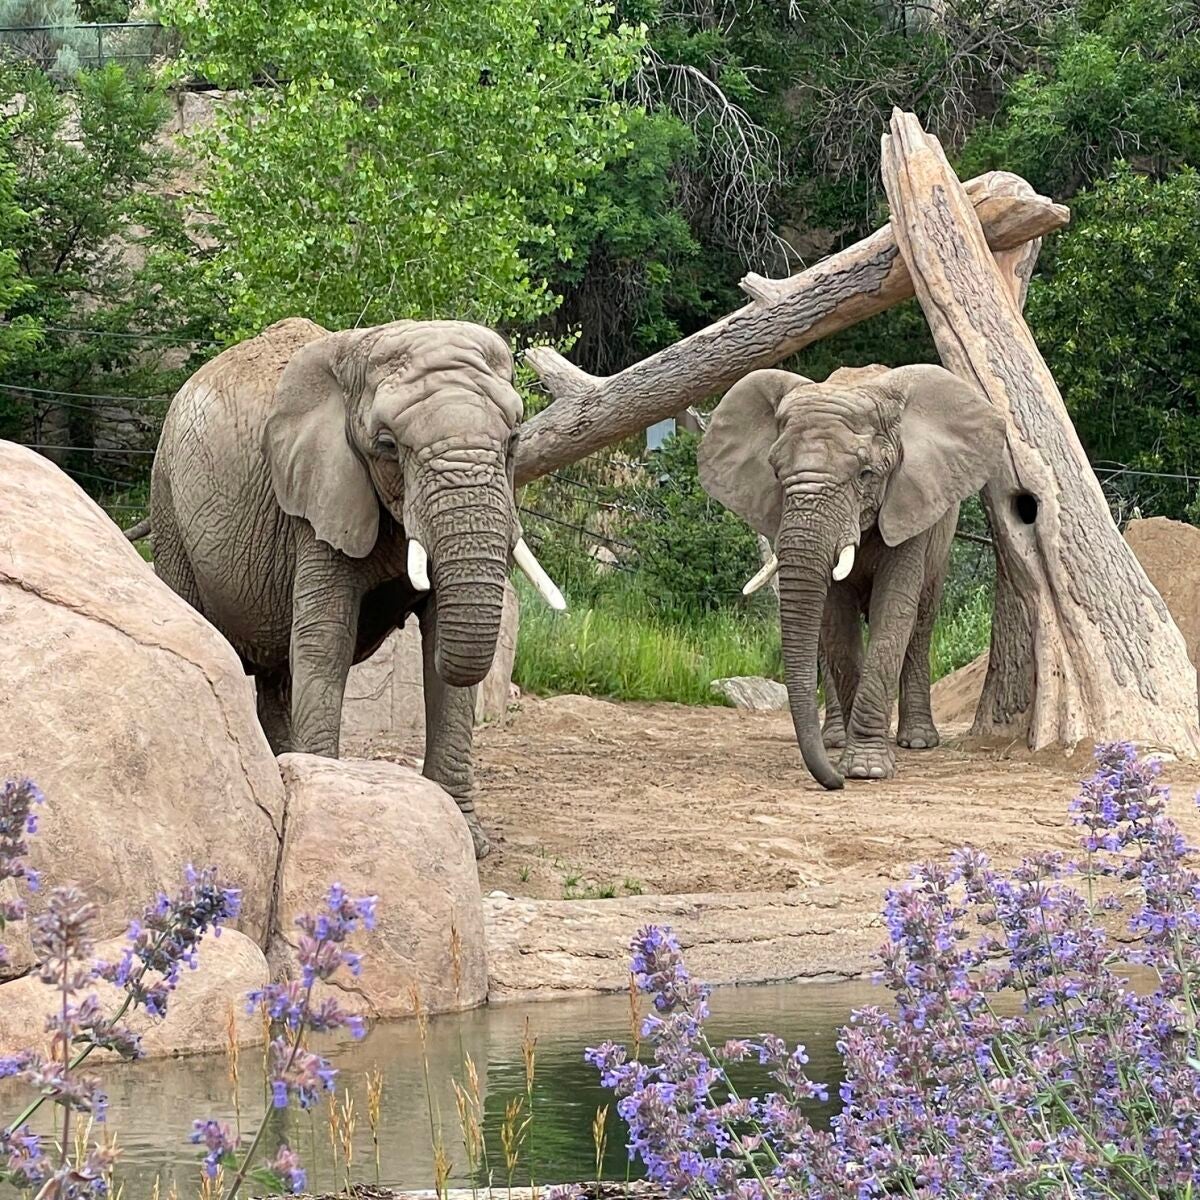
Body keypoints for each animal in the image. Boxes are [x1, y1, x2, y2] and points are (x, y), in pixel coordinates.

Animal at [149, 316, 566, 857]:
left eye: (514, 440)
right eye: (387, 445)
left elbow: (442, 650)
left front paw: (469, 840)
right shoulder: (317, 499)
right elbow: (326, 641)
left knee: (278, 677)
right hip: (168, 503)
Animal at [698, 363, 1005, 790]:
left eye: (865, 474)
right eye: (775, 472)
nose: (833, 782)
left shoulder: (910, 502)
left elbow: (894, 612)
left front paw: (865, 770)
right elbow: (837, 625)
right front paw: (853, 762)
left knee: (921, 622)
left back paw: (917, 741)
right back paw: (834, 740)